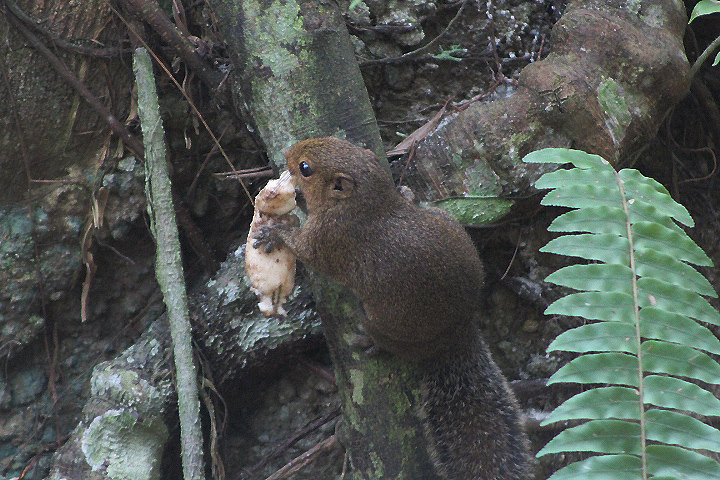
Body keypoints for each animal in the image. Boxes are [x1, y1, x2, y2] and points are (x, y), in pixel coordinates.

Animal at [254, 137, 530, 479]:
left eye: (305, 168)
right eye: (339, 141)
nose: (288, 153)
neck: (367, 203)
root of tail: (458, 332)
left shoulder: (329, 238)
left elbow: (306, 252)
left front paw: (274, 232)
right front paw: (405, 193)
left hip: (381, 322)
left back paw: (371, 343)